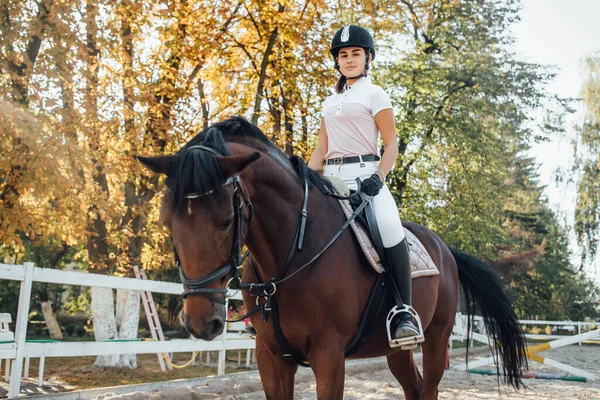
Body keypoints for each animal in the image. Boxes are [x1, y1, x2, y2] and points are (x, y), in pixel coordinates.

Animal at [138, 116, 528, 400]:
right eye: (167, 223)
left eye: (225, 221)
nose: (200, 323)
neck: (290, 255)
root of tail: (443, 247)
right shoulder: (270, 356)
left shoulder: (329, 355)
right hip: (396, 349)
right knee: (413, 387)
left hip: (435, 339)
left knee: (429, 388)